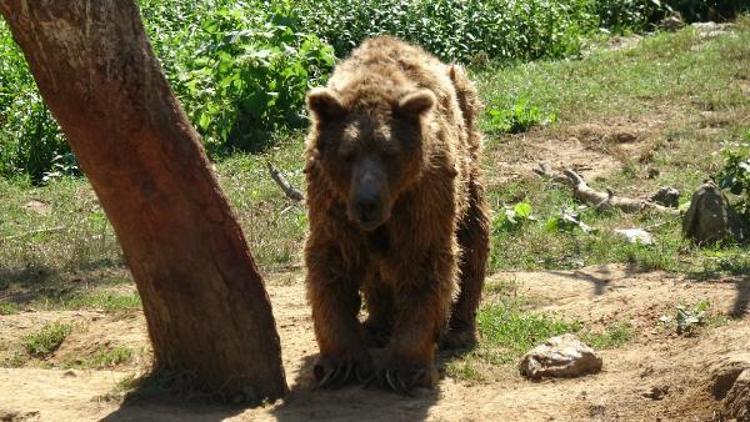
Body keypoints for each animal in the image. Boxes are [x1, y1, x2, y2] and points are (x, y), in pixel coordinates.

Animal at [302, 34, 490, 394]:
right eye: (348, 153)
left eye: (389, 152)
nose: (367, 203)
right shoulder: (332, 202)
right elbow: (332, 266)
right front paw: (338, 363)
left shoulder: (421, 195)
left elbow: (424, 262)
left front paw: (404, 368)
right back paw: (377, 326)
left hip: (468, 156)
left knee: (473, 235)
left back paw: (458, 328)